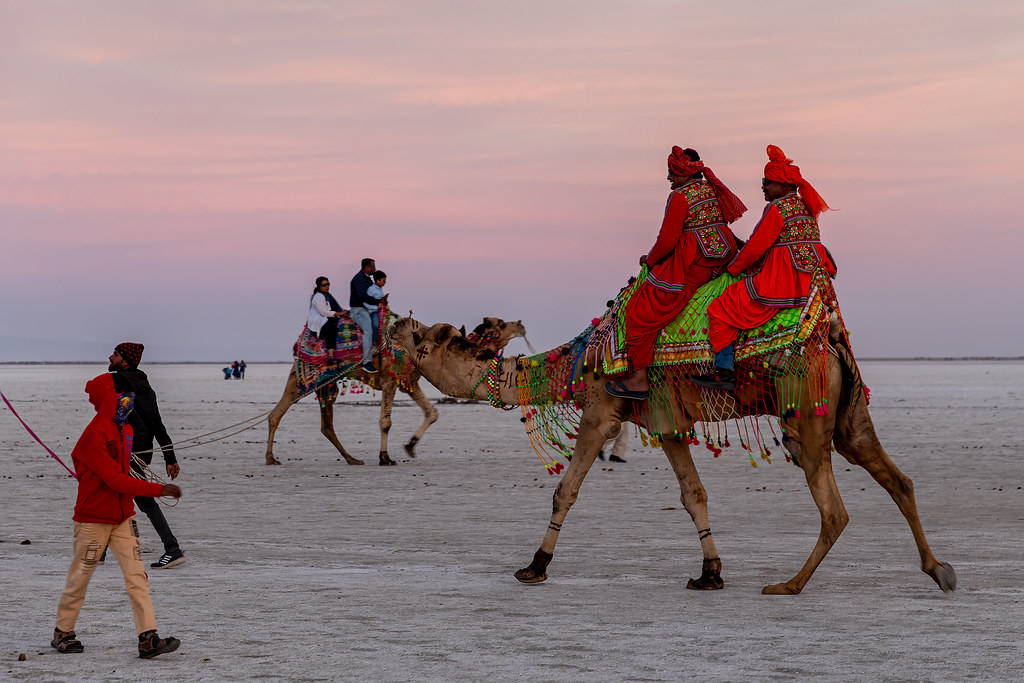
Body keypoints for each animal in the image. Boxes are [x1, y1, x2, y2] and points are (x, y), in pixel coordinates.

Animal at [264, 317, 527, 467]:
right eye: (502, 324)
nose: (521, 325)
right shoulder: (391, 380)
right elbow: (386, 422)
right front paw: (385, 457)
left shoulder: (410, 382)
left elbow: (432, 413)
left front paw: (410, 446)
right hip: (304, 378)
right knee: (278, 413)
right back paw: (270, 458)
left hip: (325, 383)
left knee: (323, 424)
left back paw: (351, 459)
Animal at [389, 316, 957, 595]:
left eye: (426, 340)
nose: (394, 328)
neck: (577, 364)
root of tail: (834, 344)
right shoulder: (668, 425)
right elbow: (693, 494)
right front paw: (710, 573)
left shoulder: (602, 413)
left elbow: (564, 490)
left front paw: (534, 566)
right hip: (847, 416)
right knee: (899, 479)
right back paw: (938, 570)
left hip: (807, 418)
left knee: (834, 509)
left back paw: (789, 585)